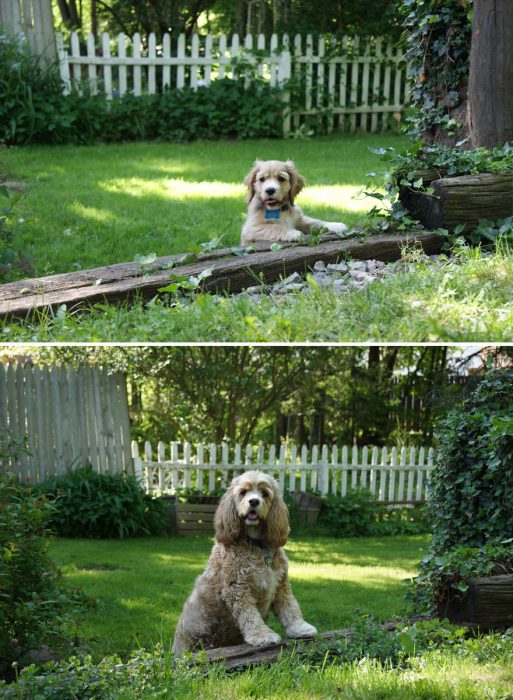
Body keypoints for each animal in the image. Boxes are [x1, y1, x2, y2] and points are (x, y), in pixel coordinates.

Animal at [172, 470, 316, 656]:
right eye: (243, 492)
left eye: (265, 493)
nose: (254, 501)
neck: (257, 545)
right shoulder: (237, 588)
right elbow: (250, 616)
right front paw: (263, 635)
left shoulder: (281, 584)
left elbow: (289, 607)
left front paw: (299, 627)